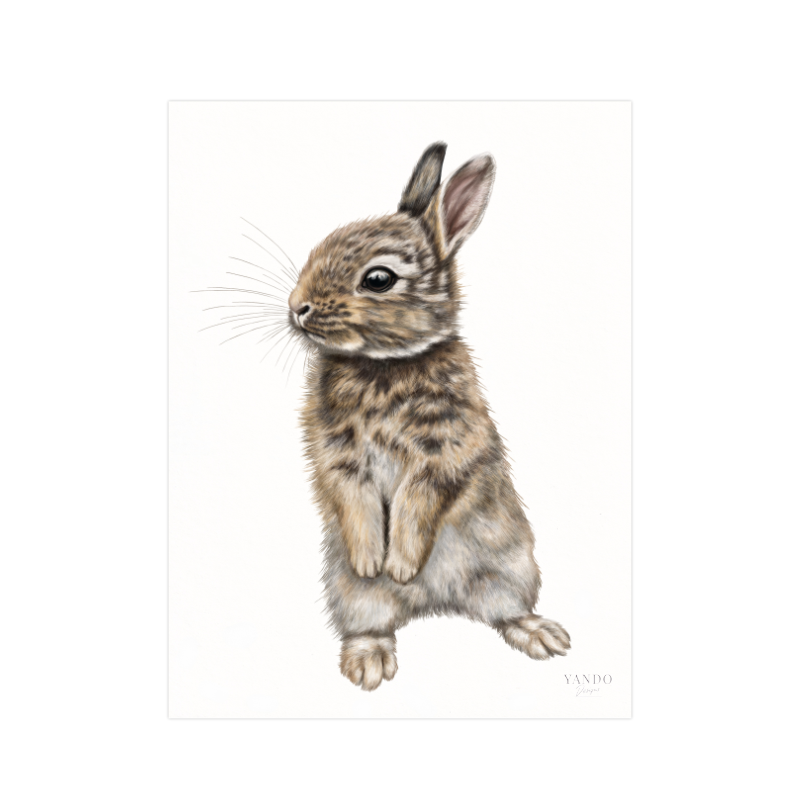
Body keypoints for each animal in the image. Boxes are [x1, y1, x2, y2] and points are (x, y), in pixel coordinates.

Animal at [287, 142, 570, 691]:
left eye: (378, 279)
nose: (297, 307)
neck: (385, 364)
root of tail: (434, 604)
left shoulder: (444, 451)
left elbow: (418, 503)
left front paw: (399, 565)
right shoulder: (338, 455)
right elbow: (353, 500)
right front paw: (373, 560)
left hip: (512, 568)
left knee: (503, 611)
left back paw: (540, 634)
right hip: (349, 593)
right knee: (371, 620)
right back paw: (369, 661)